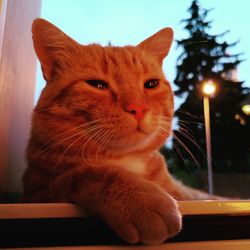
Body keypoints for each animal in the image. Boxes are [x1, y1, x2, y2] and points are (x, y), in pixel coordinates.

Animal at [22, 18, 216, 245]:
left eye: (151, 84)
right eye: (97, 84)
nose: (138, 108)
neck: (126, 158)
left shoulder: (185, 193)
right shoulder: (39, 192)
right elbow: (91, 172)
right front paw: (141, 199)